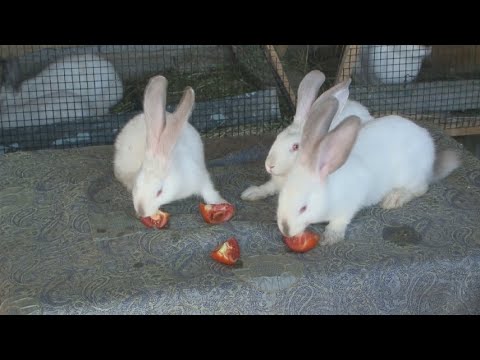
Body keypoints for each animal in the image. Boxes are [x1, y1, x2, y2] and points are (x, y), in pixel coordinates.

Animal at [112, 74, 227, 218]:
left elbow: (208, 191)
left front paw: (221, 202)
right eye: (137, 185)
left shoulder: (199, 176)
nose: (141, 212)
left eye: (159, 192)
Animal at [278, 94, 462, 246]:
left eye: (303, 208)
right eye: (281, 199)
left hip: (410, 176)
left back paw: (394, 199)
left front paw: (331, 237)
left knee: (421, 189)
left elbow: (341, 219)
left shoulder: (351, 201)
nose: (285, 229)